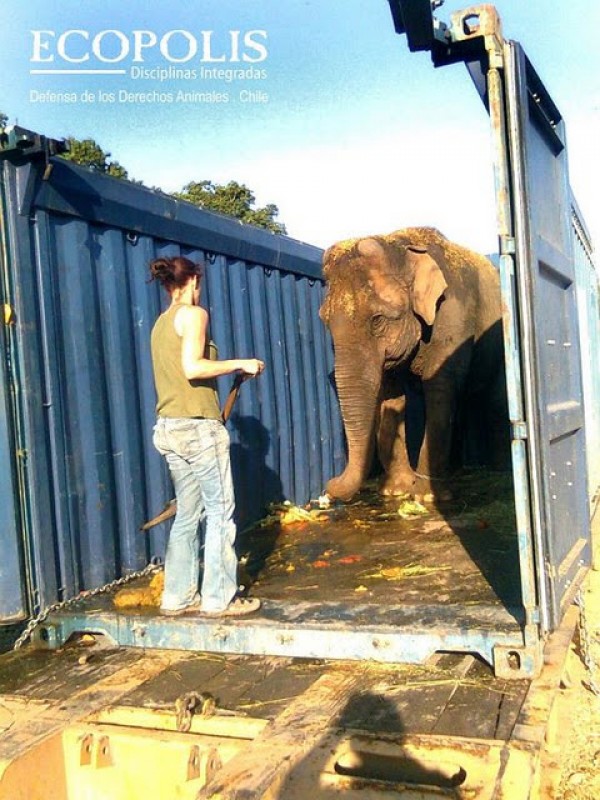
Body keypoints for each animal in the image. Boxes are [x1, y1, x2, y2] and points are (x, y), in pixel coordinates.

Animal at [322, 227, 508, 500]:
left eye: (377, 319)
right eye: (324, 320)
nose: (330, 484)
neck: (401, 248)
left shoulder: (452, 315)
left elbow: (439, 390)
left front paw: (426, 496)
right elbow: (390, 395)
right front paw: (396, 491)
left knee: (496, 400)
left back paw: (499, 471)